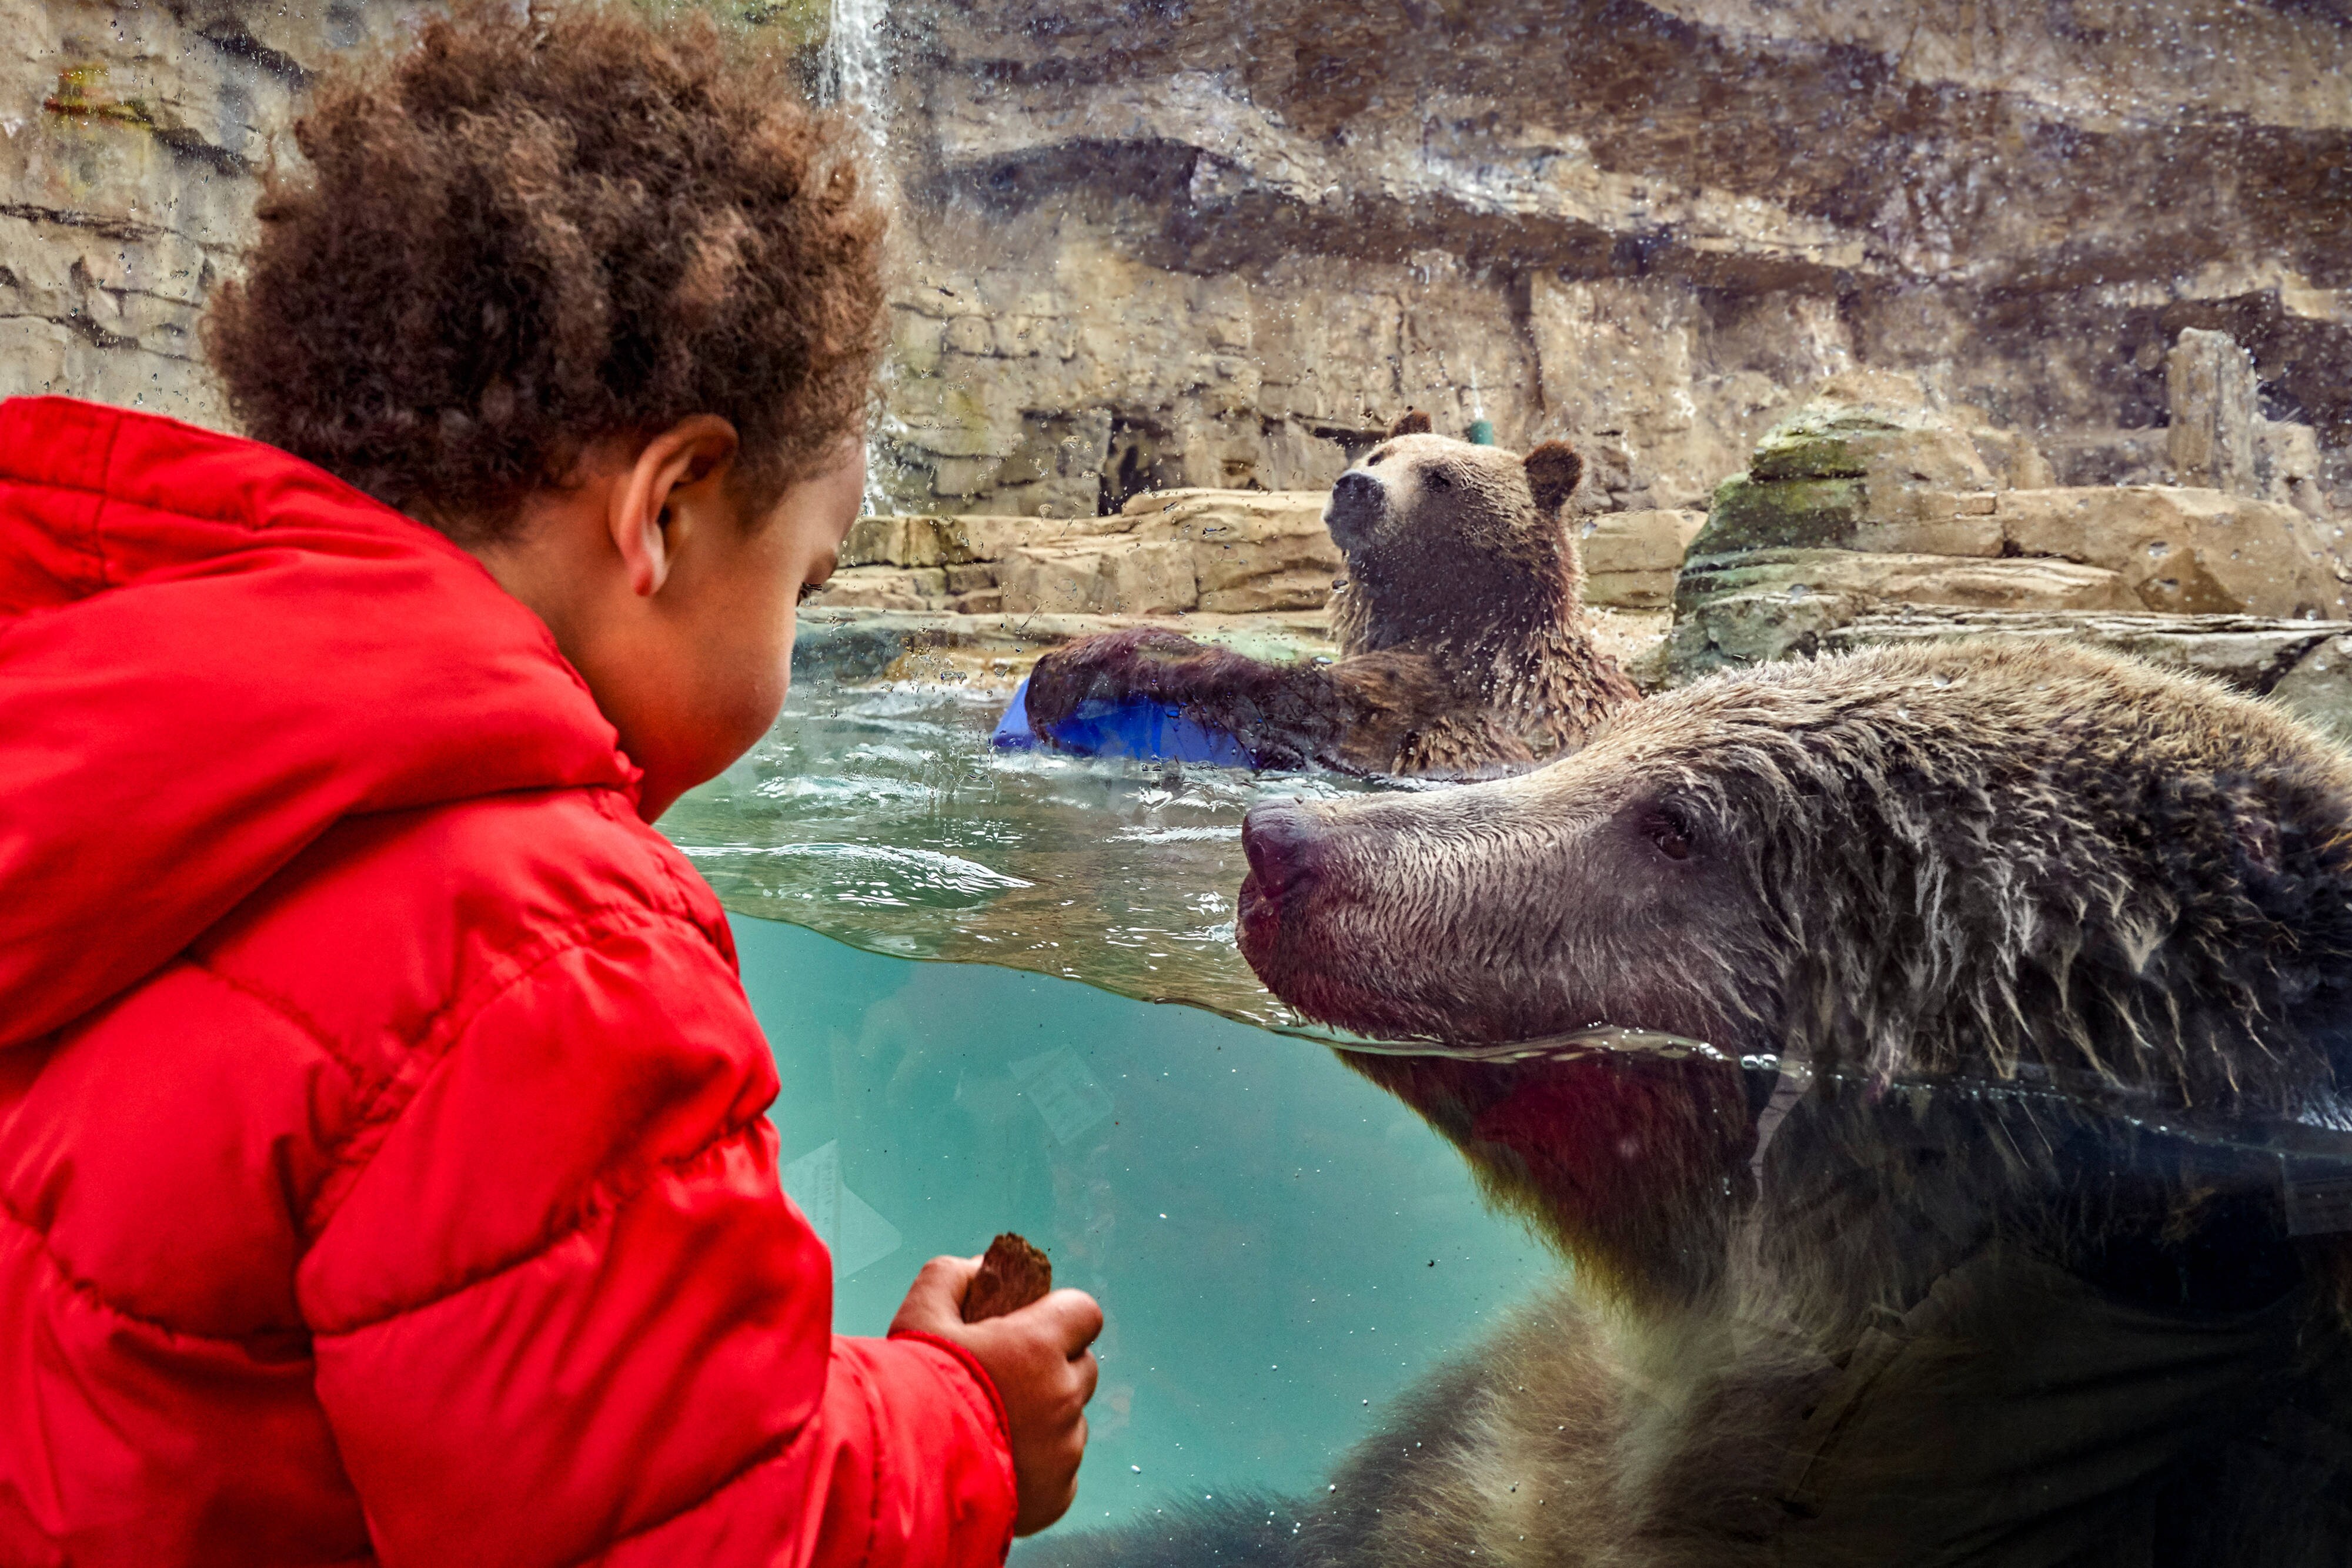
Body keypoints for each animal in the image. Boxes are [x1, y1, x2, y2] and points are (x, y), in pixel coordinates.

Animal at [1021, 413, 1646, 780]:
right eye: (1380, 455)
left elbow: (1302, 700)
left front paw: (1071, 668)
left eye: (1441, 477)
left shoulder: (1459, 687)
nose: (1357, 487)